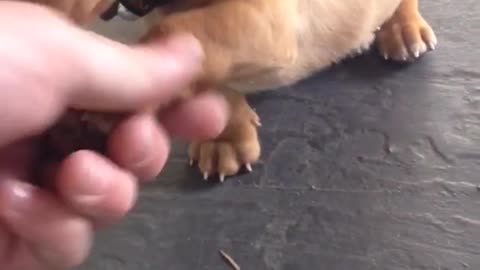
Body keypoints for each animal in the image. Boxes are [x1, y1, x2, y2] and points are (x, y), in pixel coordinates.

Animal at [29, 0, 436, 182]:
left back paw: (403, 24)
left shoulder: (261, 16)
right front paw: (225, 138)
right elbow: (212, 80)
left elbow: (175, 34)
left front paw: (102, 107)